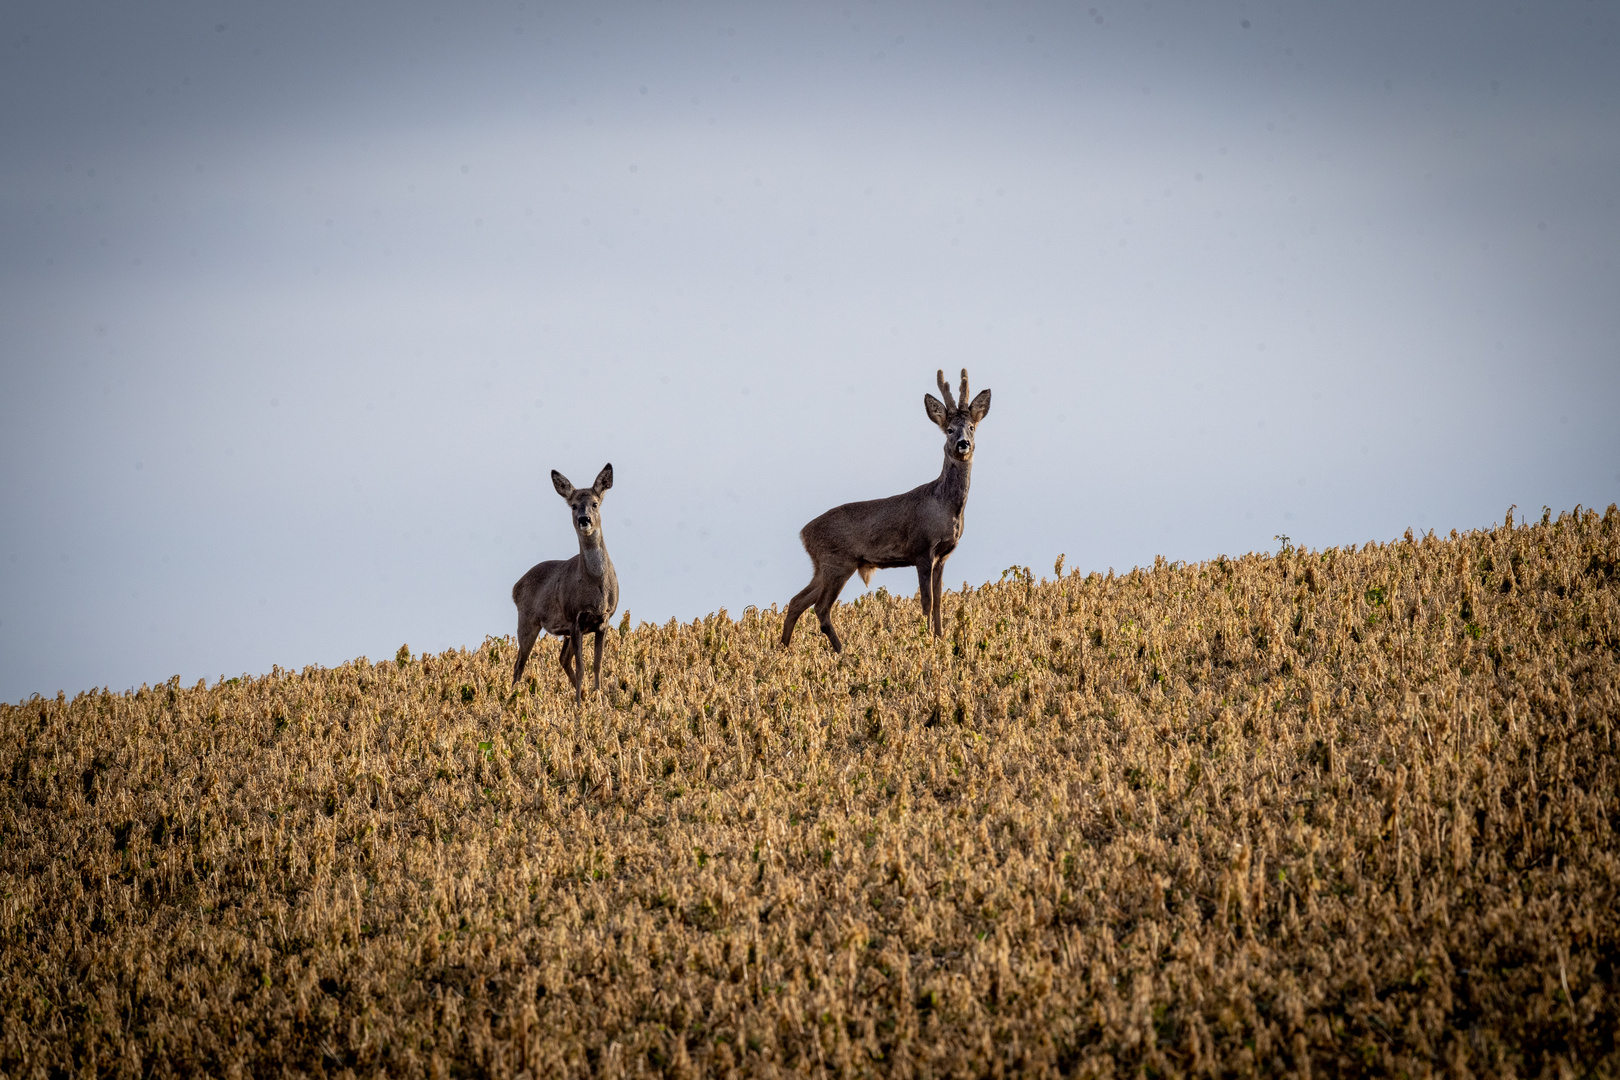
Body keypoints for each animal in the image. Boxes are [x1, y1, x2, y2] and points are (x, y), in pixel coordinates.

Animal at [511, 463, 618, 702]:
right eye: (574, 506)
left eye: (595, 503)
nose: (584, 519)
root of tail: (515, 587)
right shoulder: (575, 617)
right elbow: (582, 667)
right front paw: (579, 703)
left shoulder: (603, 620)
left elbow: (597, 665)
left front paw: (598, 699)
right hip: (528, 620)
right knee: (519, 664)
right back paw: (511, 698)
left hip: (564, 630)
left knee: (562, 659)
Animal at [780, 372, 991, 654]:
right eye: (949, 429)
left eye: (971, 427)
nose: (963, 444)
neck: (946, 507)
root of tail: (803, 533)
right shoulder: (922, 549)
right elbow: (926, 600)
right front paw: (926, 641)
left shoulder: (944, 555)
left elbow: (938, 601)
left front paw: (940, 641)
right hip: (838, 561)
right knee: (820, 608)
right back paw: (843, 652)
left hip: (823, 566)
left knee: (796, 601)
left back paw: (781, 650)